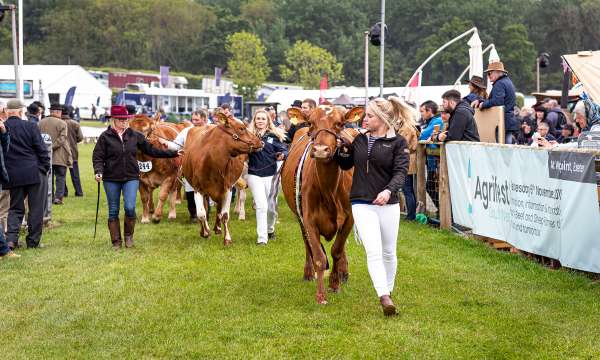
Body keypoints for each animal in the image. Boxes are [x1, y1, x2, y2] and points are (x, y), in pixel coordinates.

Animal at [183, 114, 262, 246]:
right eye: (241, 128)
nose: (261, 142)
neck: (212, 162)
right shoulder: (197, 188)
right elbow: (201, 213)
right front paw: (205, 233)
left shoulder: (228, 188)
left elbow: (224, 215)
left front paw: (227, 238)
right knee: (206, 208)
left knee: (219, 209)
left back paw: (218, 228)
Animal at [280, 105, 360, 304]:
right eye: (311, 123)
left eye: (339, 123)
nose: (321, 149)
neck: (329, 190)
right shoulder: (308, 219)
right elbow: (318, 256)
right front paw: (321, 295)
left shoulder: (349, 218)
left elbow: (337, 250)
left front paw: (335, 284)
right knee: (306, 244)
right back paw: (308, 273)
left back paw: (343, 273)